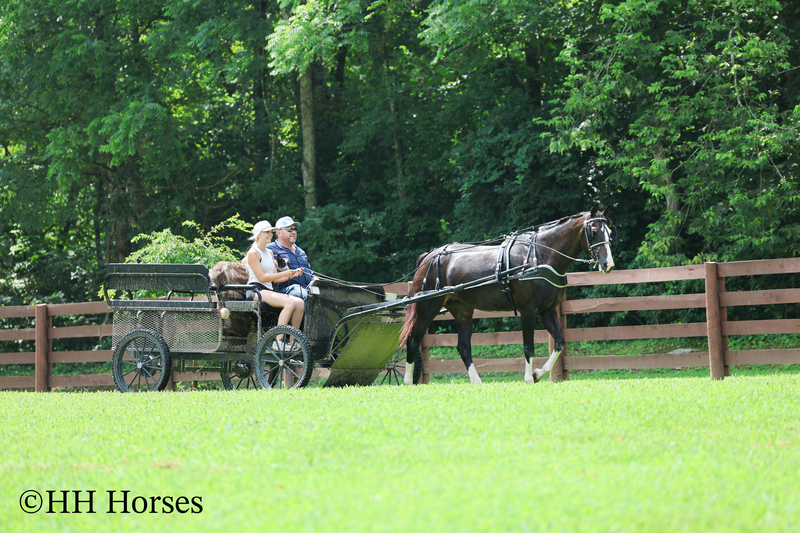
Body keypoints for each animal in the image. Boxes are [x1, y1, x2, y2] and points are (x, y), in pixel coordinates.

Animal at [399, 204, 617, 385]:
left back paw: (477, 383)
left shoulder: (547, 310)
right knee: (413, 341)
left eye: (609, 231)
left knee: (463, 347)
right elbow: (528, 346)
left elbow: (560, 342)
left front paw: (538, 374)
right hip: (427, 308)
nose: (608, 264)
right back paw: (408, 382)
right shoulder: (528, 310)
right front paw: (529, 378)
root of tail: (428, 257)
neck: (539, 256)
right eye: (593, 230)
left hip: (462, 310)